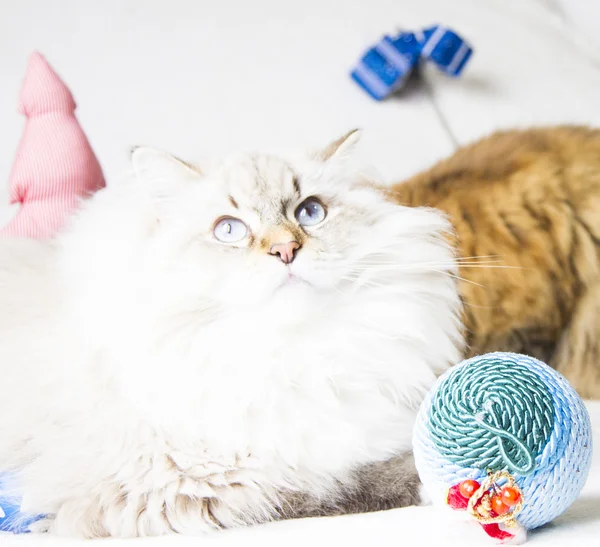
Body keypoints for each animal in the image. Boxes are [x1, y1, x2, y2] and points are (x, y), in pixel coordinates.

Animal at [0, 131, 462, 536]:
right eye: (228, 230)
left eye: (310, 212)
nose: (285, 251)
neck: (293, 363)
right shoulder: (189, 487)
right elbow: (345, 481)